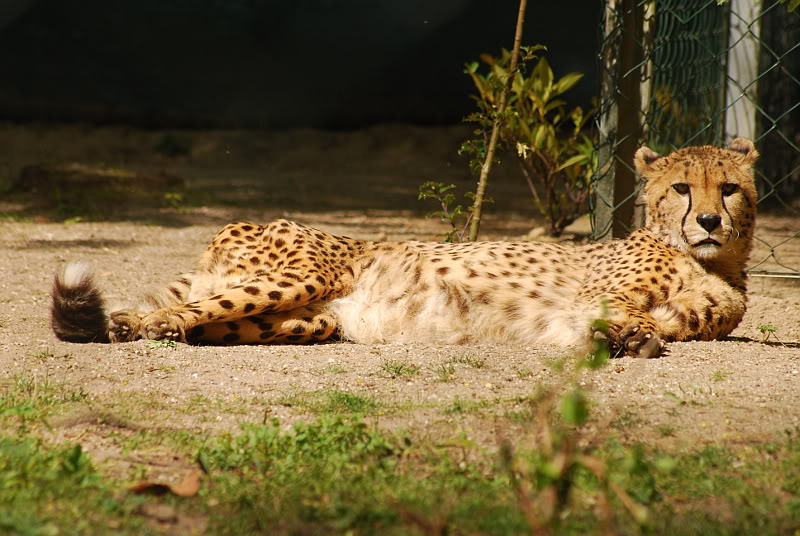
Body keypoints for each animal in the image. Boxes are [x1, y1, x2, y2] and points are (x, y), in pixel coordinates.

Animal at [51, 138, 759, 358]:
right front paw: (632, 335)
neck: (712, 264)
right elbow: (631, 311)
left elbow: (675, 322)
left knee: (215, 322)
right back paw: (142, 323)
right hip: (299, 276)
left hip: (310, 319)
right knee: (179, 312)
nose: (708, 222)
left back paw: (144, 324)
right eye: (680, 188)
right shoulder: (599, 290)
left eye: (728, 189)